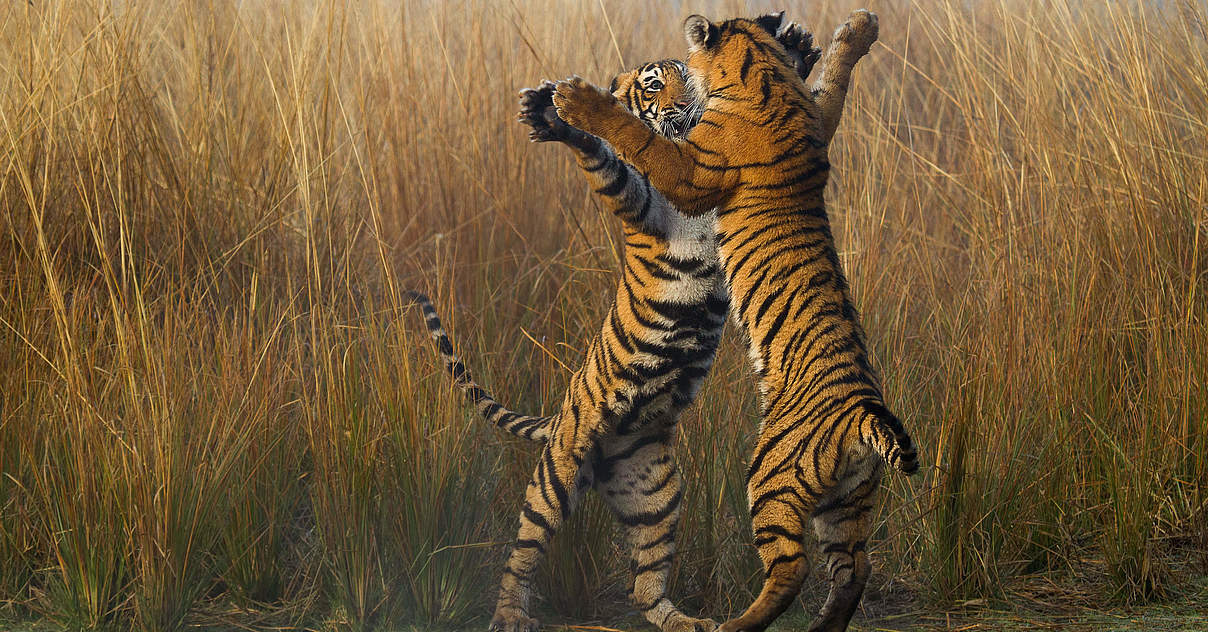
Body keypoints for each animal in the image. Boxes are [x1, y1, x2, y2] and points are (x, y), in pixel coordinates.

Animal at [405, 29, 824, 632]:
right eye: (652, 85)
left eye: (687, 76)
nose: (685, 103)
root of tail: (563, 419)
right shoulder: (643, 201)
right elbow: (605, 159)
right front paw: (555, 117)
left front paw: (796, 50)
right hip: (557, 472)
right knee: (522, 551)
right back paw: (510, 613)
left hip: (657, 489)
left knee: (643, 583)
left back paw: (684, 620)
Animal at [549, 10, 919, 632]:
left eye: (665, 76)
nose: (671, 92)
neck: (763, 77)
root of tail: (863, 415)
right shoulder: (817, 117)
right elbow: (834, 84)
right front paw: (857, 29)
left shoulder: (694, 169)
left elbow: (640, 139)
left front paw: (580, 100)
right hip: (849, 501)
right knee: (853, 569)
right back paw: (822, 625)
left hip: (771, 477)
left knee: (792, 570)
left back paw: (737, 624)